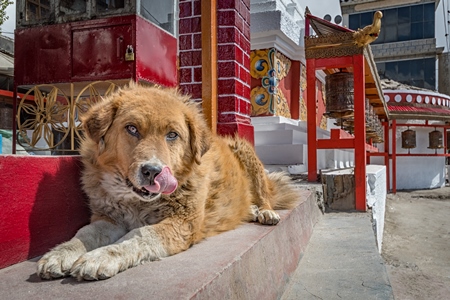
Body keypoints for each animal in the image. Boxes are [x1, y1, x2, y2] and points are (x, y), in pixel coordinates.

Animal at [37, 83, 300, 280]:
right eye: (132, 128)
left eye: (172, 135)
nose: (153, 171)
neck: (136, 202)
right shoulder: (108, 218)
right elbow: (85, 232)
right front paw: (61, 252)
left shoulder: (182, 224)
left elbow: (138, 235)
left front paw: (101, 256)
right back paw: (251, 210)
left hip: (245, 151)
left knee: (265, 194)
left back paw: (264, 211)